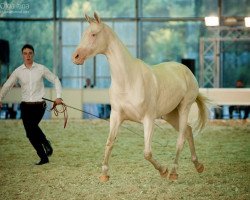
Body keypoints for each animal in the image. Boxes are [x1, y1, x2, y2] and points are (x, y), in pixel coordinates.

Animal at [72, 11, 209, 182]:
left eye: (93, 34)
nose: (76, 57)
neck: (128, 79)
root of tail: (186, 71)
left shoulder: (148, 119)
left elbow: (147, 153)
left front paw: (163, 170)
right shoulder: (116, 116)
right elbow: (109, 143)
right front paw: (104, 174)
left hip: (184, 108)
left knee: (181, 139)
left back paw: (173, 172)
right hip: (169, 114)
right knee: (189, 131)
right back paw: (198, 166)